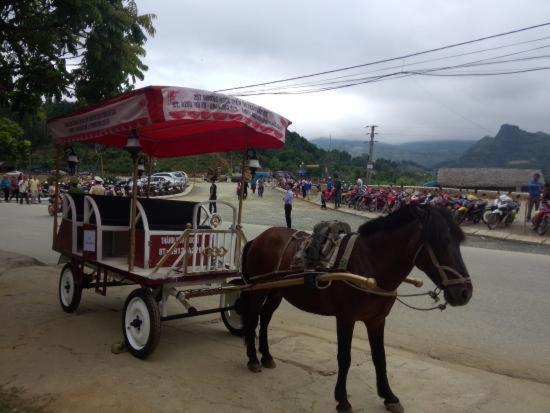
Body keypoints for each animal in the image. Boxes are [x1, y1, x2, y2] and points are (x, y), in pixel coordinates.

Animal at [240, 204, 474, 410]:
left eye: (458, 241)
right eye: (440, 241)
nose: (465, 293)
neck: (370, 264)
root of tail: (259, 238)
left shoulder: (377, 320)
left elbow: (380, 358)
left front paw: (389, 396)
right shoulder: (346, 318)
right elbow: (345, 358)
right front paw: (342, 400)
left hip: (276, 291)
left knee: (265, 318)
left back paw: (267, 356)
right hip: (258, 290)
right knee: (252, 319)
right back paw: (253, 360)